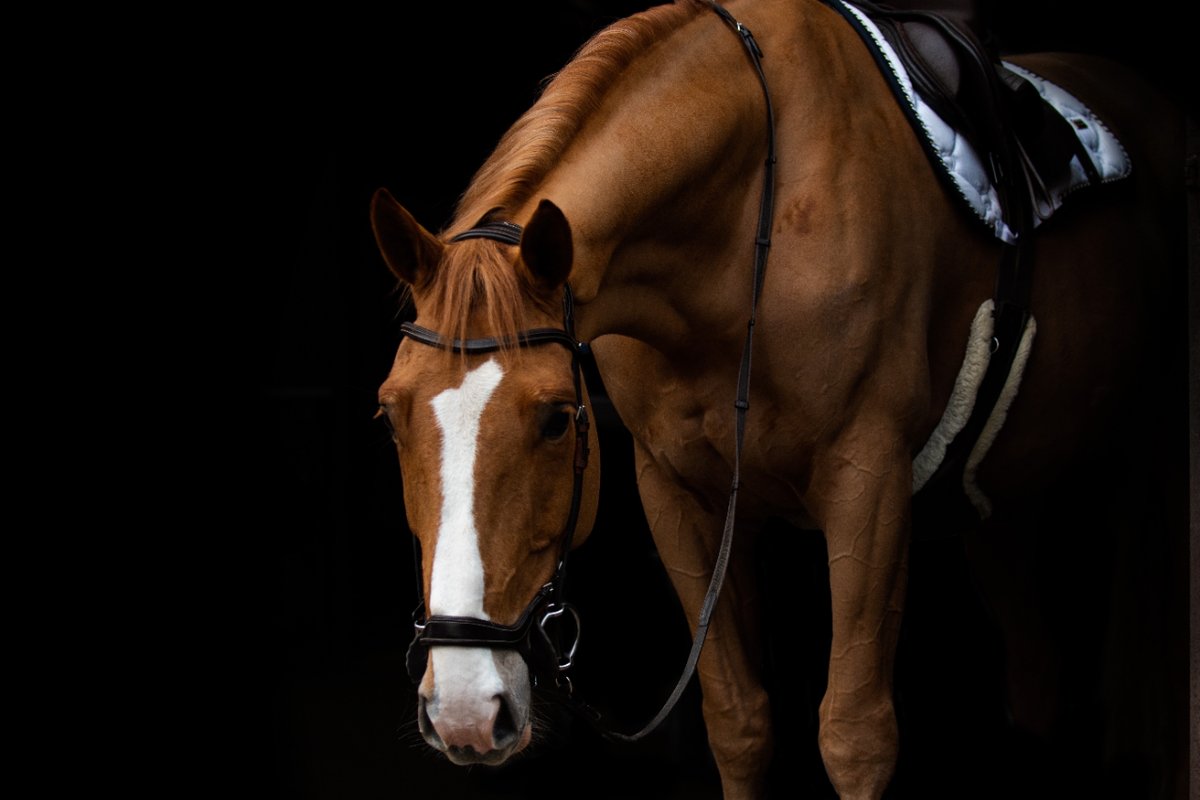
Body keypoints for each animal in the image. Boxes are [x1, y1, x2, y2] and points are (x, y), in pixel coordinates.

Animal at [370, 1, 1189, 797]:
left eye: (556, 420)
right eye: (390, 414)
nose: (467, 710)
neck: (740, 240)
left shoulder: (868, 484)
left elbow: (856, 736)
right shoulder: (679, 493)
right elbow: (739, 723)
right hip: (1003, 498)